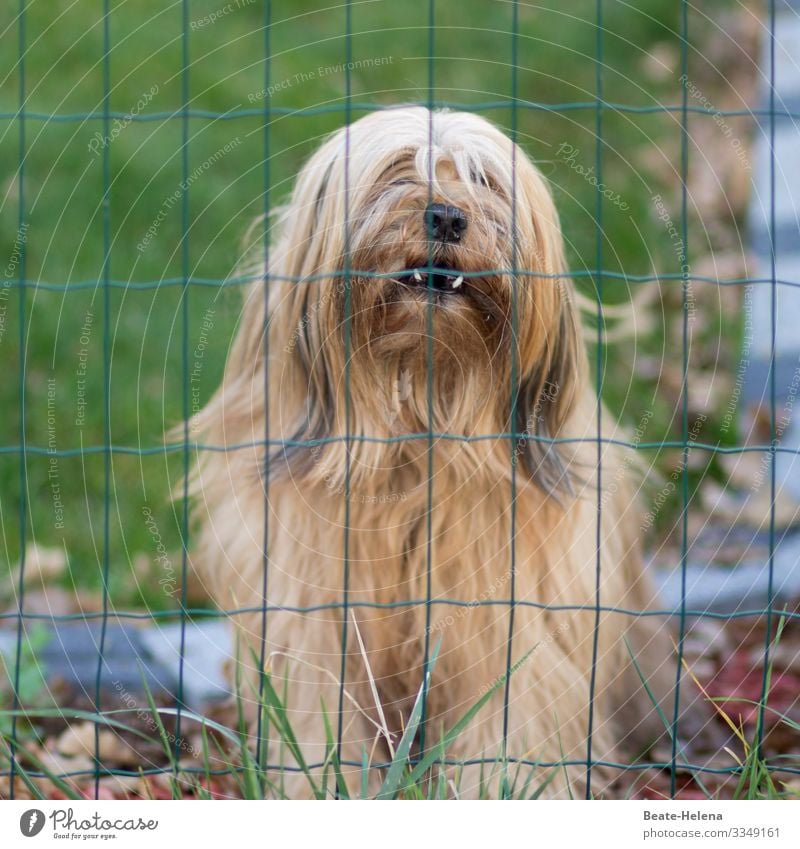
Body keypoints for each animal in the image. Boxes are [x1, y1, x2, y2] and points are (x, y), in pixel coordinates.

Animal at [189, 106, 692, 796]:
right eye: (397, 172)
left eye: (484, 182)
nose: (448, 218)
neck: (418, 425)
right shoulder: (316, 623)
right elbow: (324, 724)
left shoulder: (509, 622)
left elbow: (509, 726)